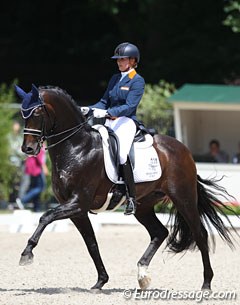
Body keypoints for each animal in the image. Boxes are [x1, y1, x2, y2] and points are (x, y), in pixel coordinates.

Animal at [15, 83, 237, 290]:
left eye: (36, 112)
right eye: (23, 114)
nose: (28, 148)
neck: (77, 148)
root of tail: (184, 150)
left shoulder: (78, 203)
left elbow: (45, 217)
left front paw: (26, 253)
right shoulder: (77, 210)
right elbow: (91, 243)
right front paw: (101, 281)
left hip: (184, 198)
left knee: (200, 234)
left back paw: (206, 283)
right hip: (144, 205)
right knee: (159, 233)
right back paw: (142, 275)